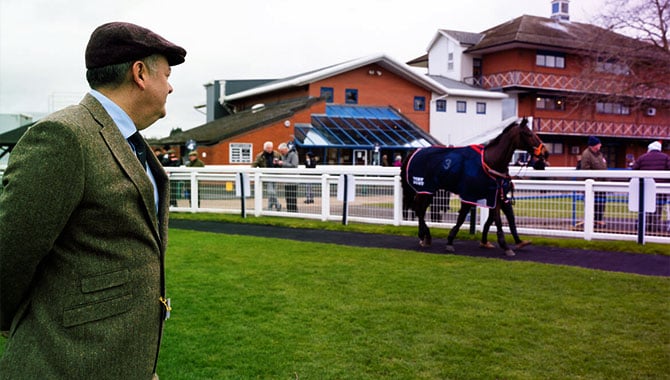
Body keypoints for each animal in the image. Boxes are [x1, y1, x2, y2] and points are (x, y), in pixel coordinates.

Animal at [402, 117, 548, 256]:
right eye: (529, 134)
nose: (545, 152)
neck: (490, 162)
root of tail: (414, 152)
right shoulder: (469, 195)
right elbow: (463, 218)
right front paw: (450, 241)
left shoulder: (495, 195)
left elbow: (499, 218)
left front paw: (507, 244)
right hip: (424, 188)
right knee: (419, 210)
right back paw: (425, 236)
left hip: (428, 190)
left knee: (419, 210)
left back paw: (424, 236)